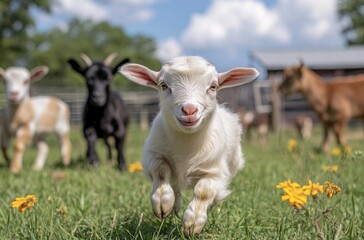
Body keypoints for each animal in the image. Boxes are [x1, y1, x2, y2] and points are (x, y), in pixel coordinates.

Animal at [119, 55, 258, 234]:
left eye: (213, 86)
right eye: (163, 85)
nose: (189, 110)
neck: (186, 146)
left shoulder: (216, 171)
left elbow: (204, 192)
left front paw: (193, 223)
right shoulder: (152, 155)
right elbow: (161, 171)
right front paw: (163, 203)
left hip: (234, 163)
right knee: (175, 184)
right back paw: (173, 206)